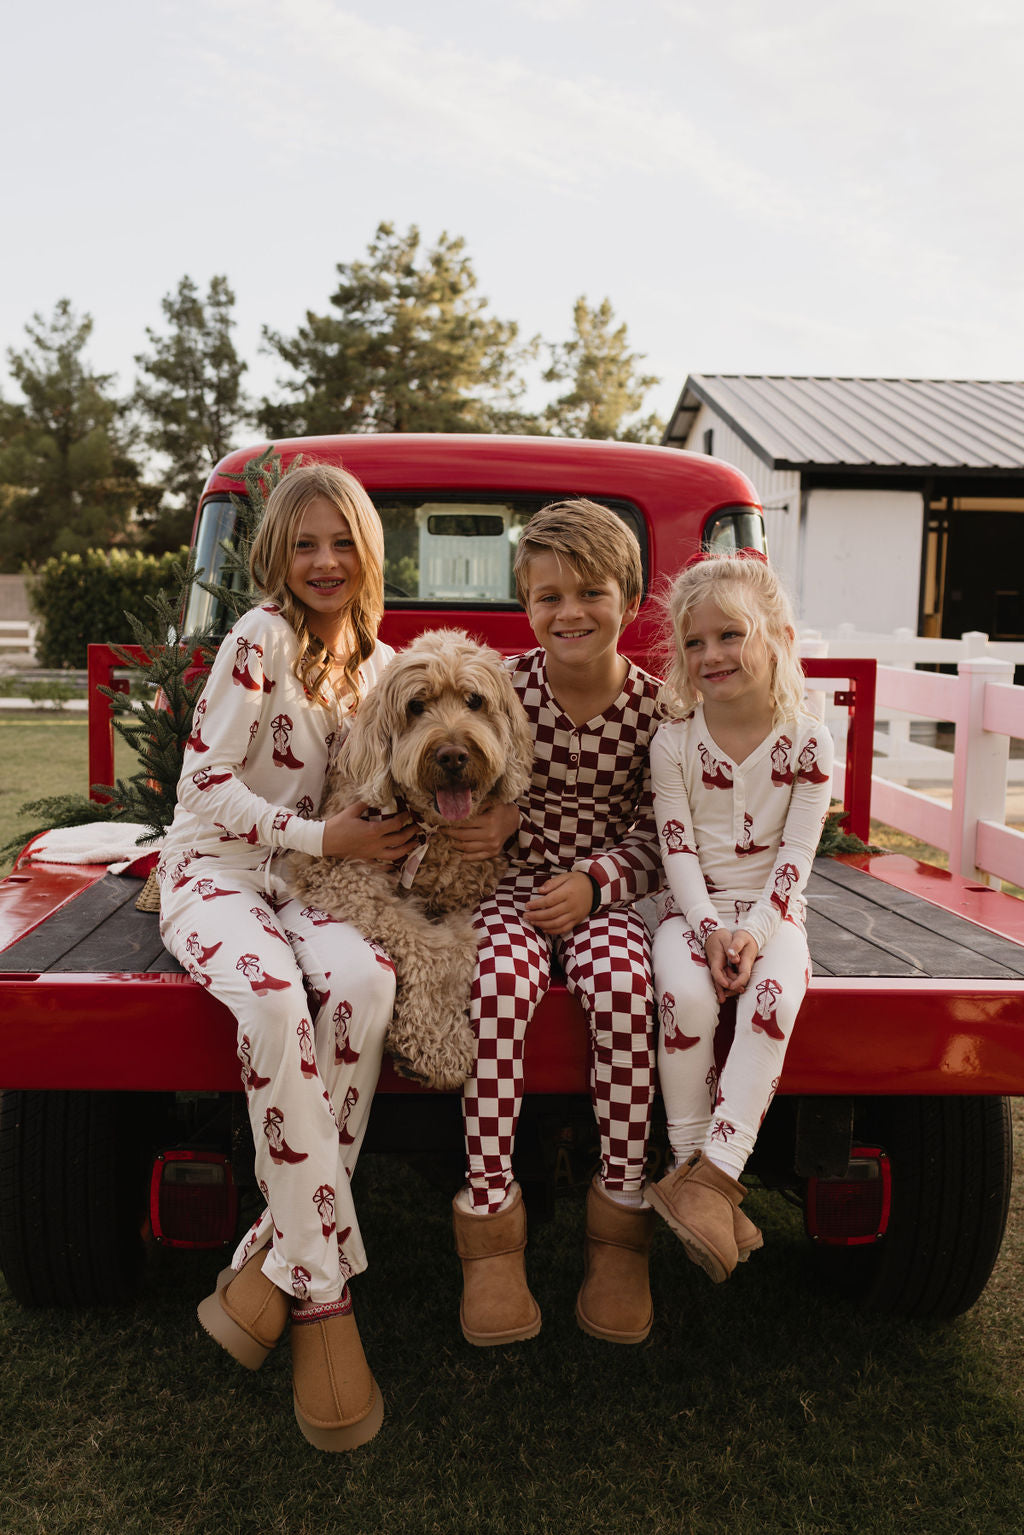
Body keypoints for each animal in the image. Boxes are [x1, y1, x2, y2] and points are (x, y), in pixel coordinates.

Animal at [287, 626, 528, 1092]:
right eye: (416, 706)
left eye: (474, 700)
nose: (452, 754)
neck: (431, 831)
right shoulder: (341, 874)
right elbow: (434, 947)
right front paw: (436, 1046)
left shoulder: (461, 901)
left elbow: (459, 948)